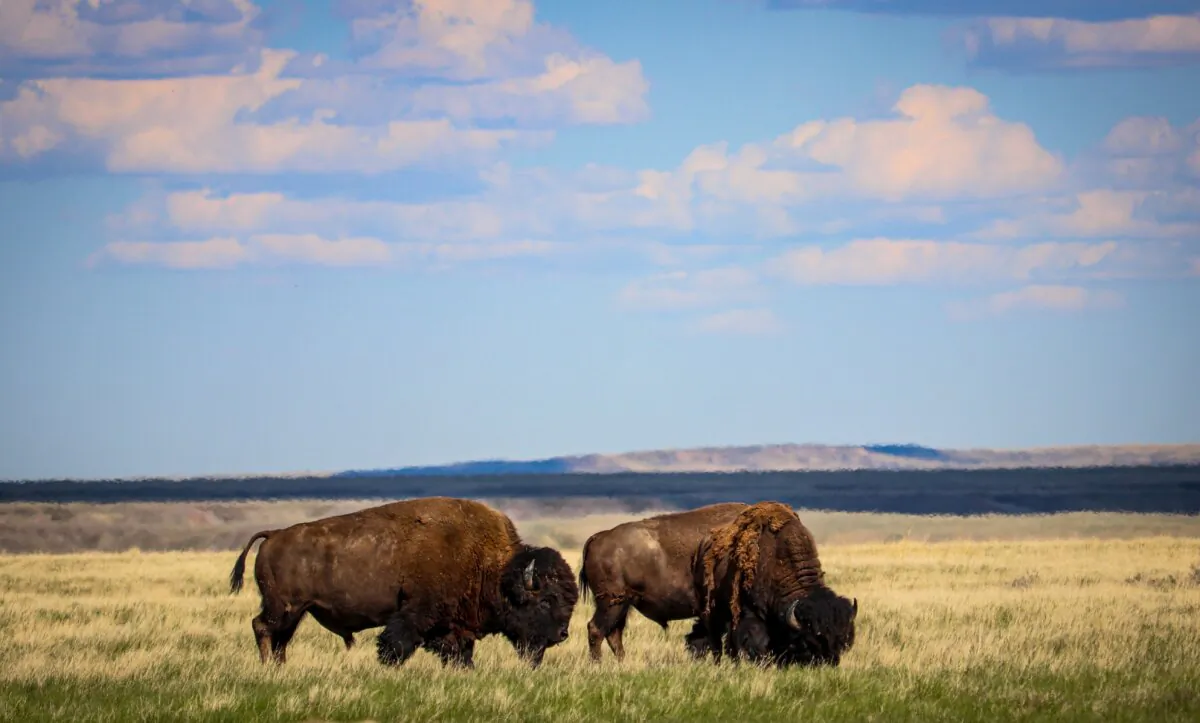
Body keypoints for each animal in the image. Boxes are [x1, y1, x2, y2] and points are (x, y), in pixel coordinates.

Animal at [228, 496, 579, 669]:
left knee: (280, 638)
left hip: (297, 611)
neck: (492, 565)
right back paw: (267, 667)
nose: (562, 634)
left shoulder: (453, 626)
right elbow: (395, 645)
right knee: (262, 628)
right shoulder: (415, 614)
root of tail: (274, 535)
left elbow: (459, 653)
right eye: (546, 600)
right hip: (283, 607)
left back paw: (279, 668)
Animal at [578, 502, 749, 661]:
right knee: (596, 630)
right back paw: (597, 664)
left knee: (613, 633)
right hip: (611, 604)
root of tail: (599, 537)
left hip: (621, 605)